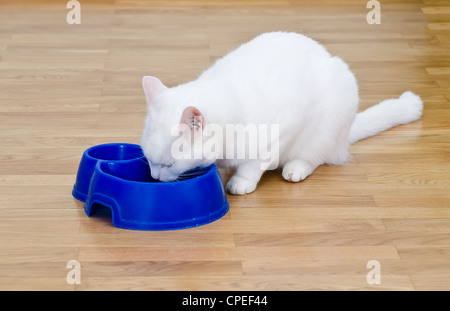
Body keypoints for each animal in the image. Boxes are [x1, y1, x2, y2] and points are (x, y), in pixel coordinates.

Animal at [140, 31, 422, 195]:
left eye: (168, 164)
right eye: (149, 161)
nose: (153, 177)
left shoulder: (285, 128)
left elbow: (255, 163)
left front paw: (240, 182)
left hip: (327, 125)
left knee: (315, 157)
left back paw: (295, 169)